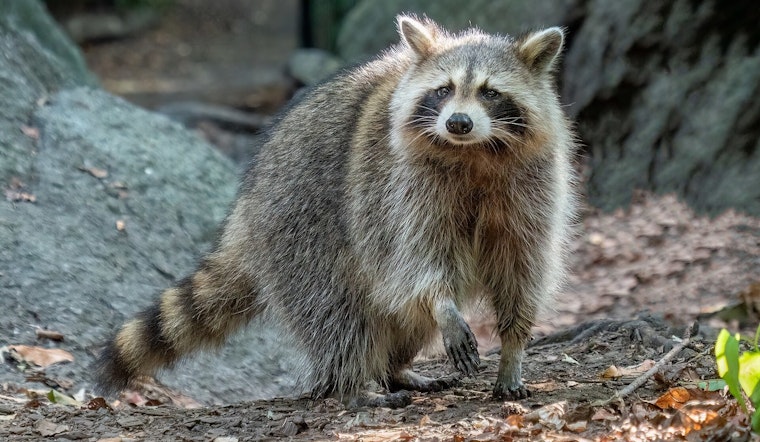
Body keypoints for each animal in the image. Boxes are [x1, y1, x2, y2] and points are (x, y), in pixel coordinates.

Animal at [96, 14, 577, 407]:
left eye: (490, 93)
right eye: (443, 91)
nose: (458, 122)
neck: (475, 152)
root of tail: (245, 210)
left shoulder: (532, 186)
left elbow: (523, 265)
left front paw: (513, 348)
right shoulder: (399, 186)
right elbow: (418, 256)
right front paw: (444, 305)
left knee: (399, 315)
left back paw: (395, 368)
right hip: (300, 225)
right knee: (337, 310)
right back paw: (351, 383)